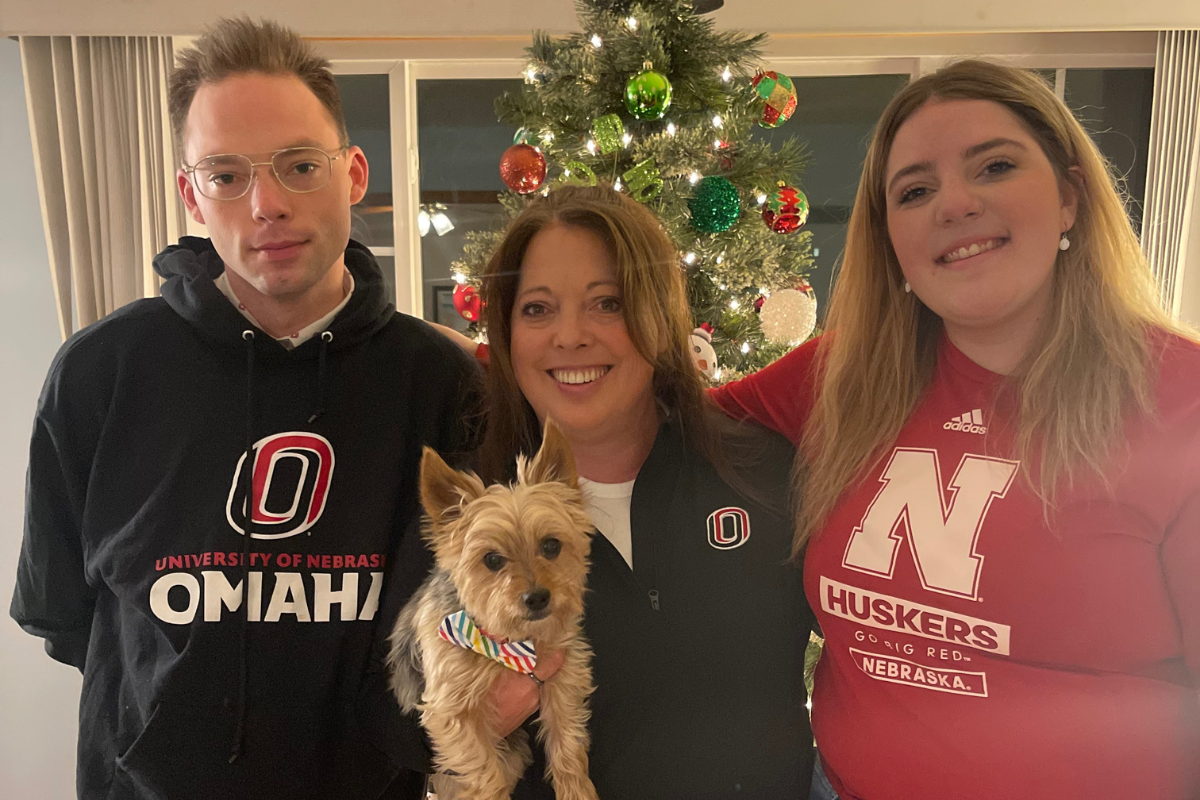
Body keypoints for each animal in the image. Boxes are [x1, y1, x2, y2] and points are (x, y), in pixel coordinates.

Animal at [388, 419, 600, 800]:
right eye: (492, 560)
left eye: (551, 545)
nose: (538, 598)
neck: (511, 641)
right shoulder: (451, 710)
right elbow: (485, 771)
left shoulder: (565, 676)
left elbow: (568, 743)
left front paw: (577, 790)